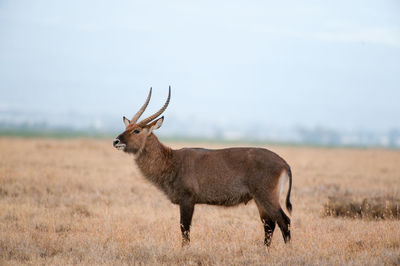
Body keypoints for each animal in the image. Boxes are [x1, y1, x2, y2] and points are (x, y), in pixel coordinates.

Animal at [112, 88, 290, 247]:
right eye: (126, 128)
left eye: (136, 130)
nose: (116, 141)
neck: (171, 161)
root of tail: (283, 162)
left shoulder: (187, 200)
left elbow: (185, 229)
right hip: (259, 200)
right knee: (269, 224)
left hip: (267, 197)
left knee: (284, 221)